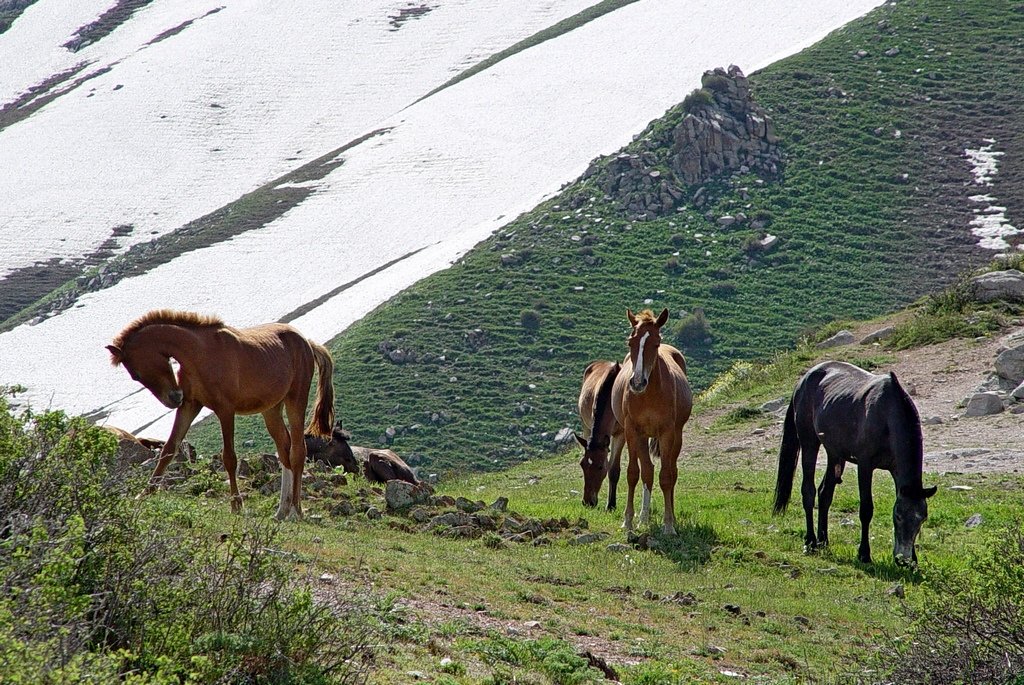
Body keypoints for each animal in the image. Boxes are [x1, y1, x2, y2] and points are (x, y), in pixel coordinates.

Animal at [107, 309, 335, 518]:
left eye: (136, 374)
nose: (173, 399)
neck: (200, 354)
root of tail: (307, 343)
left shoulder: (225, 410)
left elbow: (229, 458)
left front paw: (236, 504)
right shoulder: (190, 406)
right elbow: (169, 449)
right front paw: (145, 493)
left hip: (296, 400)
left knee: (297, 451)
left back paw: (296, 510)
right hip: (271, 410)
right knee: (284, 449)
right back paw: (282, 511)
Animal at [577, 358, 622, 507]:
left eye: (601, 467)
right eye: (582, 464)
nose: (587, 502)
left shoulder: (621, 434)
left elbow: (613, 470)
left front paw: (611, 505)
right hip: (585, 426)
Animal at [610, 305, 692, 532]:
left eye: (655, 343)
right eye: (631, 342)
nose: (637, 382)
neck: (648, 396)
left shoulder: (667, 433)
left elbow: (666, 477)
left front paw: (669, 525)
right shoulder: (632, 431)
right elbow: (634, 473)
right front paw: (628, 520)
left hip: (676, 436)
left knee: (672, 471)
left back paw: (671, 517)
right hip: (642, 437)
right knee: (648, 471)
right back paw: (643, 518)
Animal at [774, 360, 937, 565]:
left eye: (922, 519)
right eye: (898, 516)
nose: (904, 559)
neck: (887, 415)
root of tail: (804, 379)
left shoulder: (896, 471)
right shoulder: (865, 466)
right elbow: (866, 509)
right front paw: (864, 554)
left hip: (835, 453)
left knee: (824, 493)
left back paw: (823, 540)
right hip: (809, 442)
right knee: (808, 491)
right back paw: (810, 541)